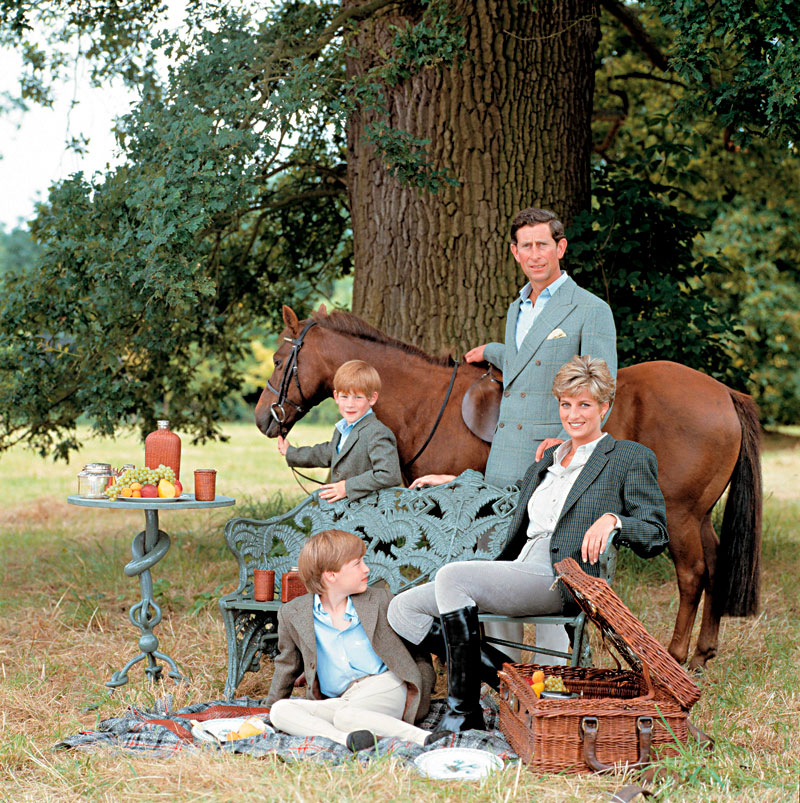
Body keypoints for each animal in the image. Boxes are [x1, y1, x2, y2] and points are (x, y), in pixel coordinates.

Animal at [258, 304, 764, 668]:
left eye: (281, 360)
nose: (265, 417)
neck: (425, 402)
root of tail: (723, 392)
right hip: (698, 515)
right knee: (716, 564)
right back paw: (702, 653)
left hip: (677, 515)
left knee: (692, 574)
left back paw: (677, 654)